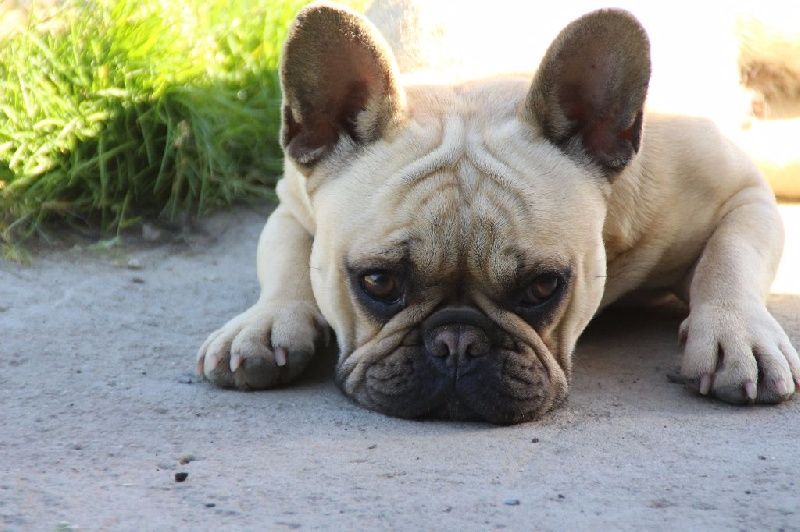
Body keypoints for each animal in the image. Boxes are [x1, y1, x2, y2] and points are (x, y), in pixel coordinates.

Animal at [195, 1, 800, 424]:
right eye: (378, 281)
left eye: (543, 287)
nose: (457, 343)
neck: (473, 81)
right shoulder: (294, 204)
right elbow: (287, 262)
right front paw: (265, 322)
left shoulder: (741, 193)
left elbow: (730, 255)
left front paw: (736, 336)